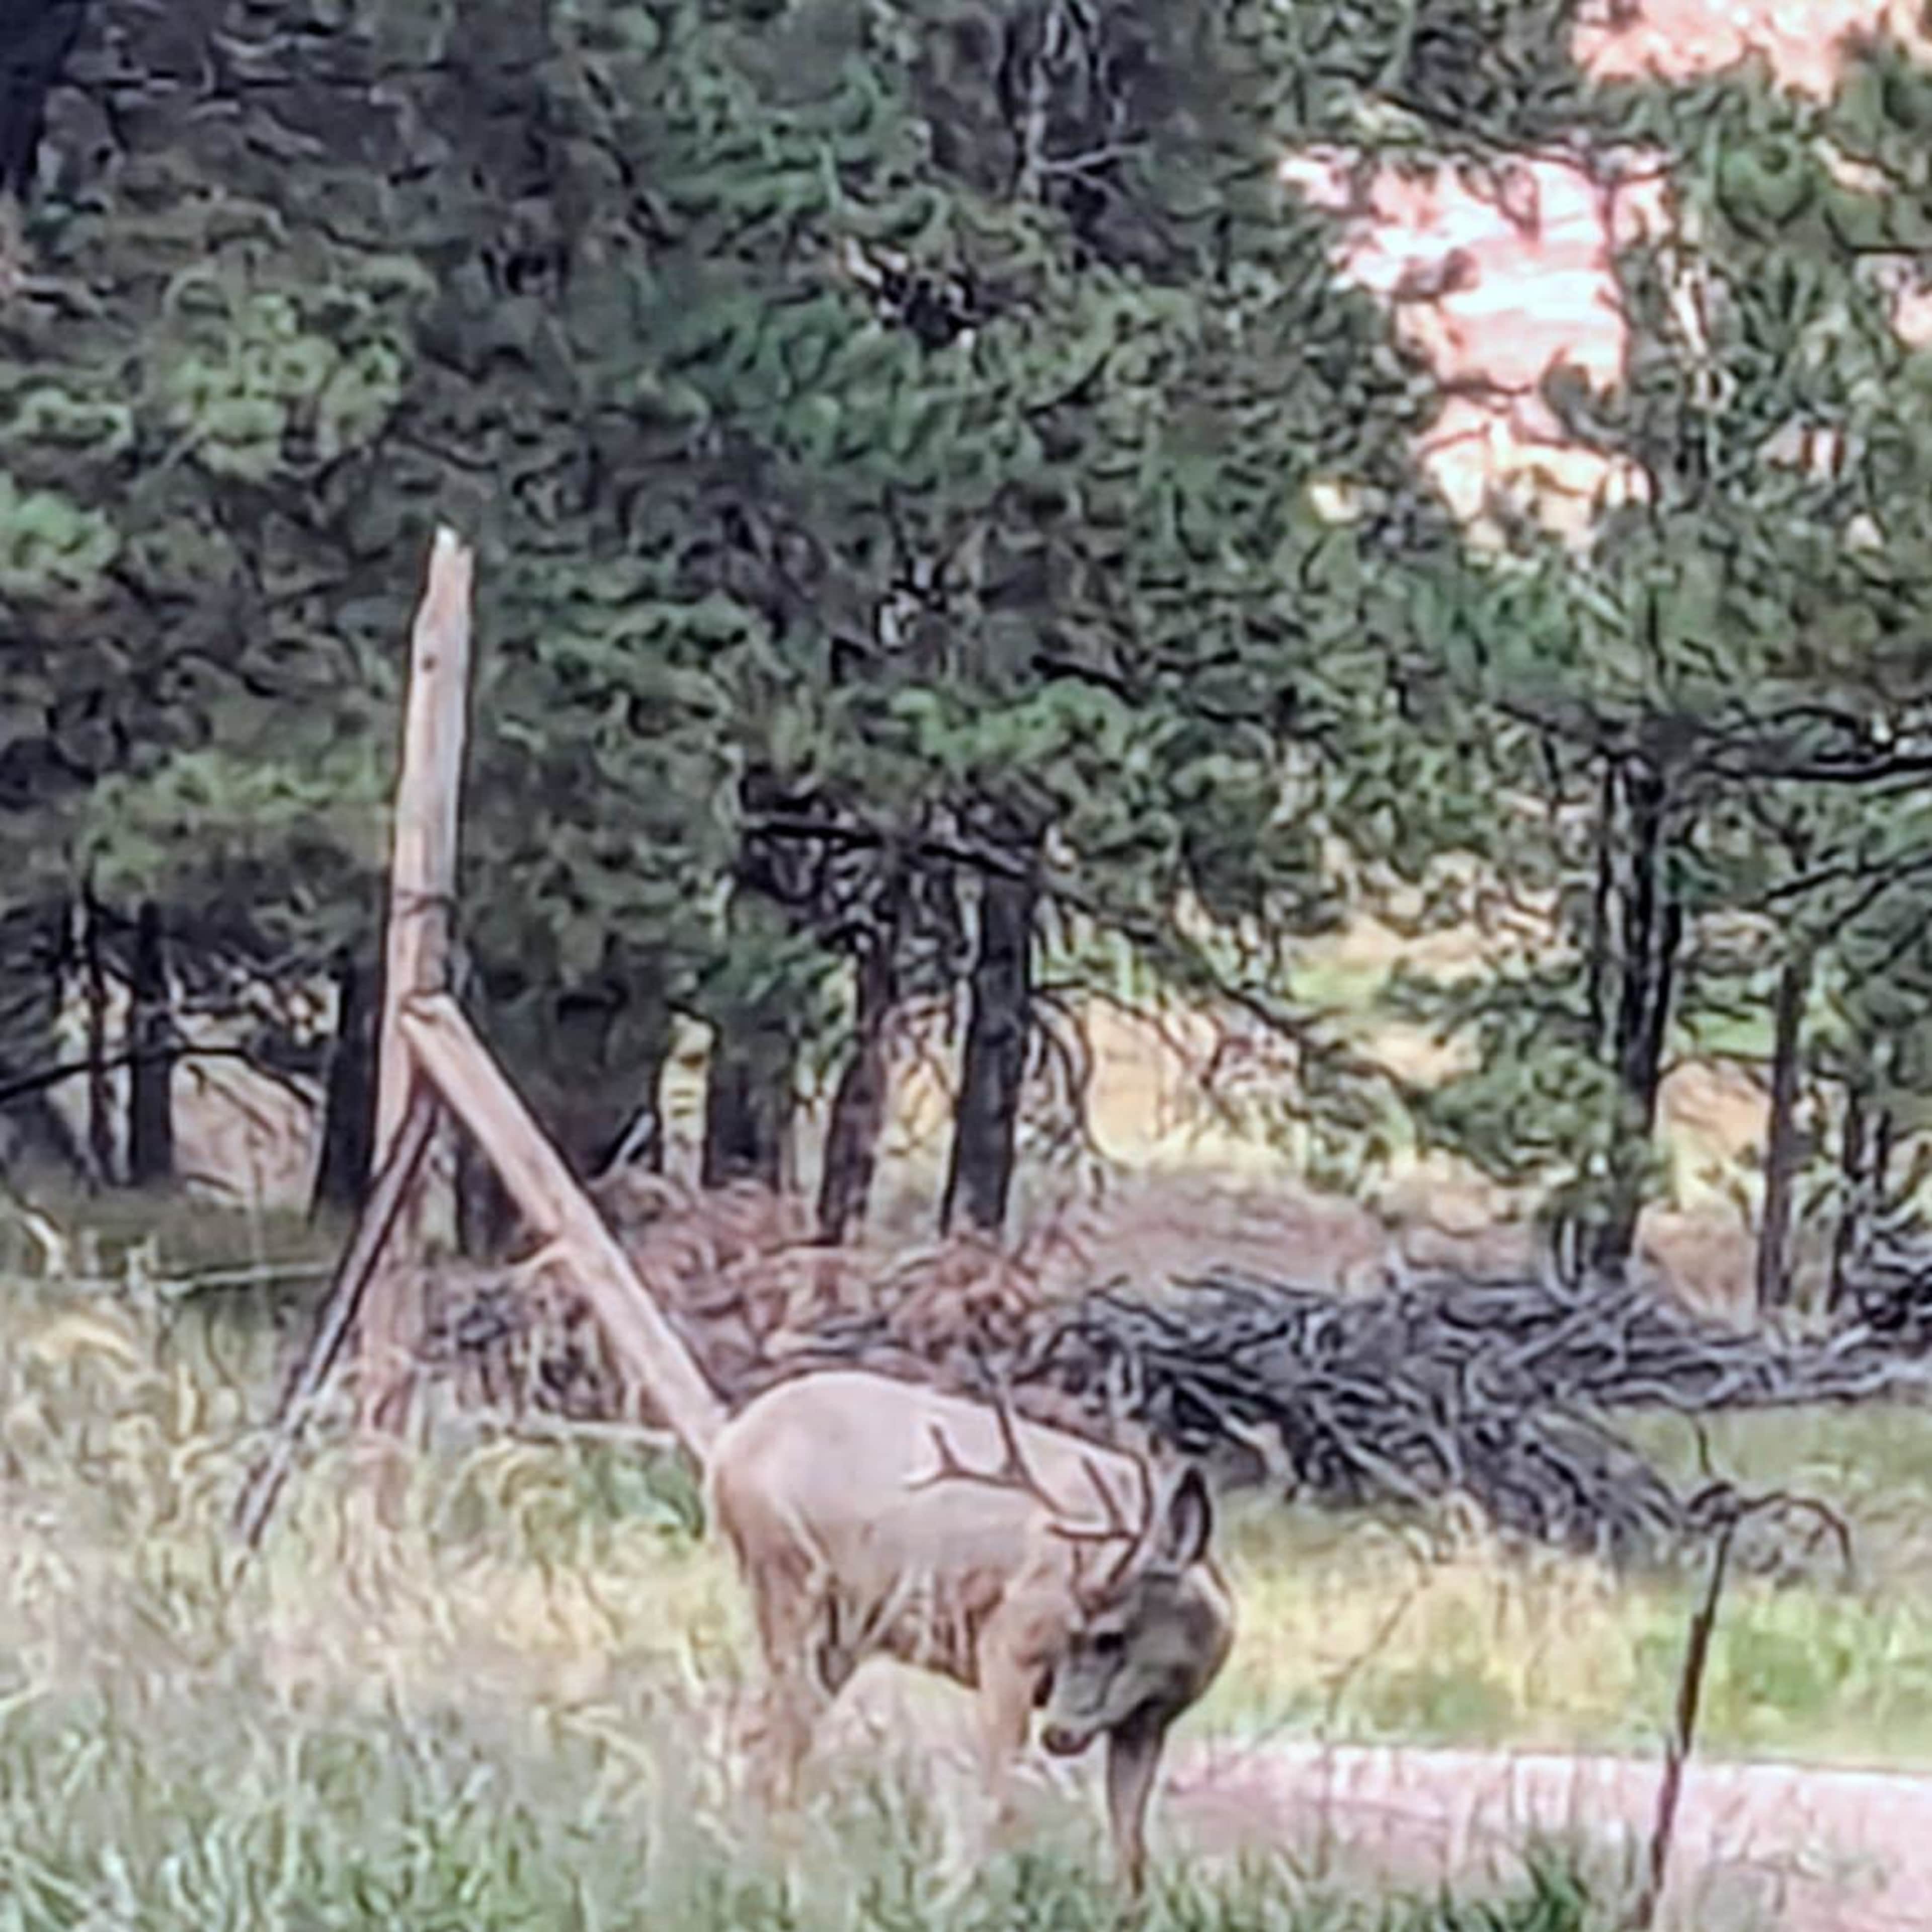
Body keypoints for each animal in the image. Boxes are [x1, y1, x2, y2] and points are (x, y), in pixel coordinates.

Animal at [703, 1366, 1235, 1895]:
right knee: (773, 1743)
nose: (1058, 1734)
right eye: (1072, 1633)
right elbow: (1000, 1799)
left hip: (839, 1633)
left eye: (1111, 1636)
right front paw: (967, 1893)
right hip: (787, 1577)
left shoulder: (1147, 1720)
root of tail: (728, 1445)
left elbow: (1131, 1847)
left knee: (763, 1736)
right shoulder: (1008, 1641)